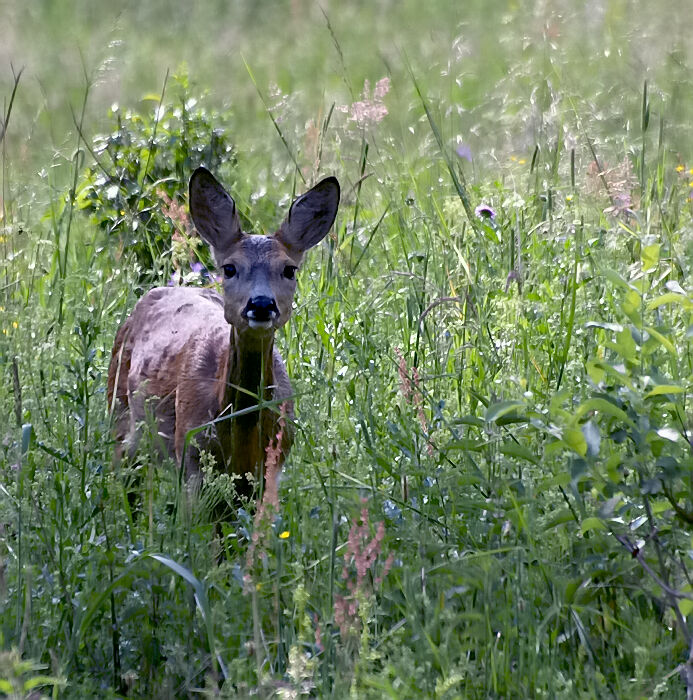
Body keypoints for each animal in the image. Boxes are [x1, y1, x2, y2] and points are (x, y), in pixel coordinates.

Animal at [106, 168, 340, 498]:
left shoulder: (271, 468)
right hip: (119, 414)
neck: (241, 434)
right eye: (229, 268)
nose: (261, 304)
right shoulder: (191, 457)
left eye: (289, 269)